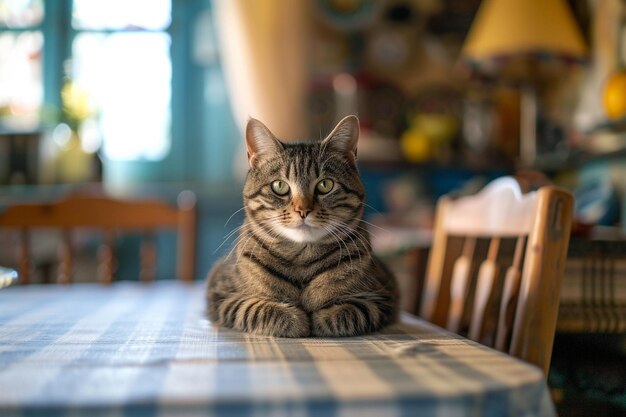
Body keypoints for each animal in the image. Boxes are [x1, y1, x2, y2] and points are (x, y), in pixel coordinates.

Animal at [207, 115, 398, 336]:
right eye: (279, 186)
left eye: (325, 185)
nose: (303, 210)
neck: (301, 257)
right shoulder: (222, 295)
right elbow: (257, 309)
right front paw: (295, 318)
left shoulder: (382, 297)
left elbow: (349, 312)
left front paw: (319, 319)